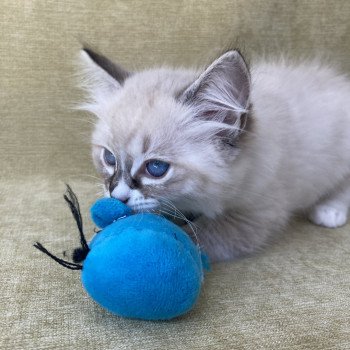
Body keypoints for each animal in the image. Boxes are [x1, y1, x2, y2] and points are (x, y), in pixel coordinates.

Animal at [78, 46, 350, 262]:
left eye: (156, 168)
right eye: (109, 159)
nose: (115, 195)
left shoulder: (255, 216)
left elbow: (196, 236)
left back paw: (329, 211)